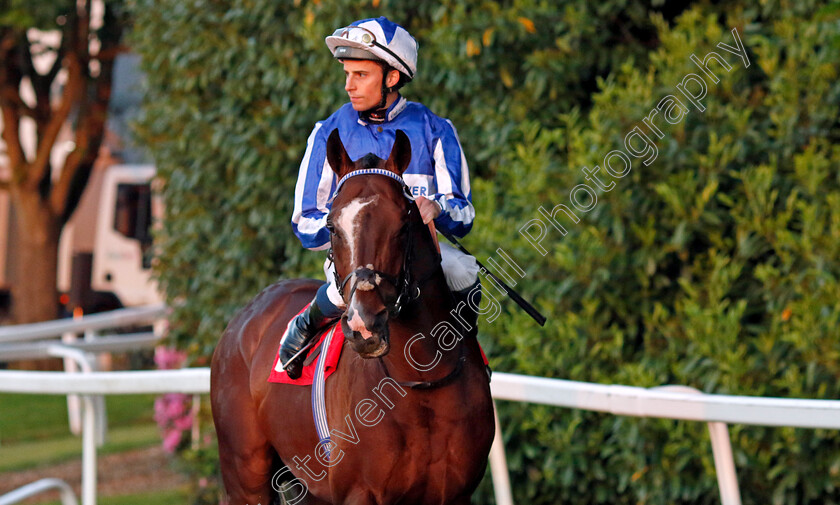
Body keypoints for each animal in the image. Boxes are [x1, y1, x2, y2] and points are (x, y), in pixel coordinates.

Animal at [212, 128, 498, 502]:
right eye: (332, 226)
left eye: (403, 224)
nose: (365, 326)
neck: (420, 381)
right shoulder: (359, 492)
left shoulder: (457, 493)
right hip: (244, 475)